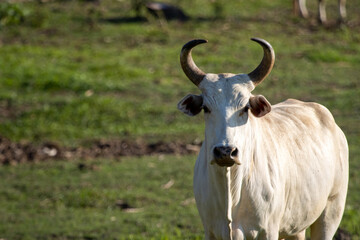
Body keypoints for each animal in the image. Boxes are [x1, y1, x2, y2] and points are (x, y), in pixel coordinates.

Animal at [177, 38, 348, 239]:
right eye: (206, 108)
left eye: (245, 108)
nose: (226, 152)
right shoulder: (210, 231)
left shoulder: (268, 231)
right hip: (297, 226)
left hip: (331, 212)